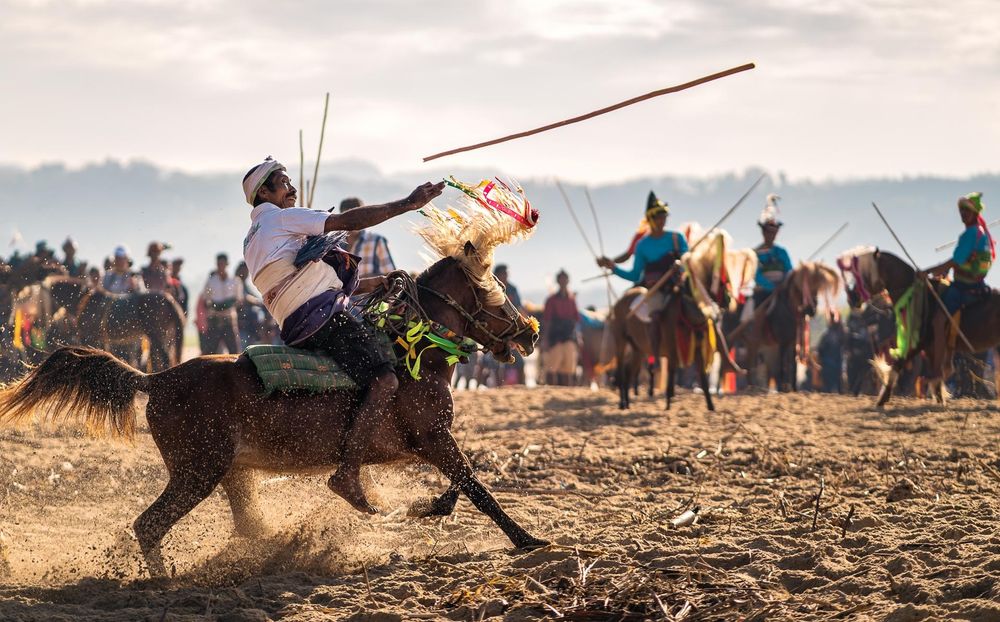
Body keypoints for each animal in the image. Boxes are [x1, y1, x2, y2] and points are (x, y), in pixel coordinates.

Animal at [837, 247, 1000, 406]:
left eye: (865, 275)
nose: (852, 298)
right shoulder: (929, 349)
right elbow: (935, 378)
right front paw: (939, 401)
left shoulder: (919, 344)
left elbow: (899, 365)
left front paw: (882, 399)